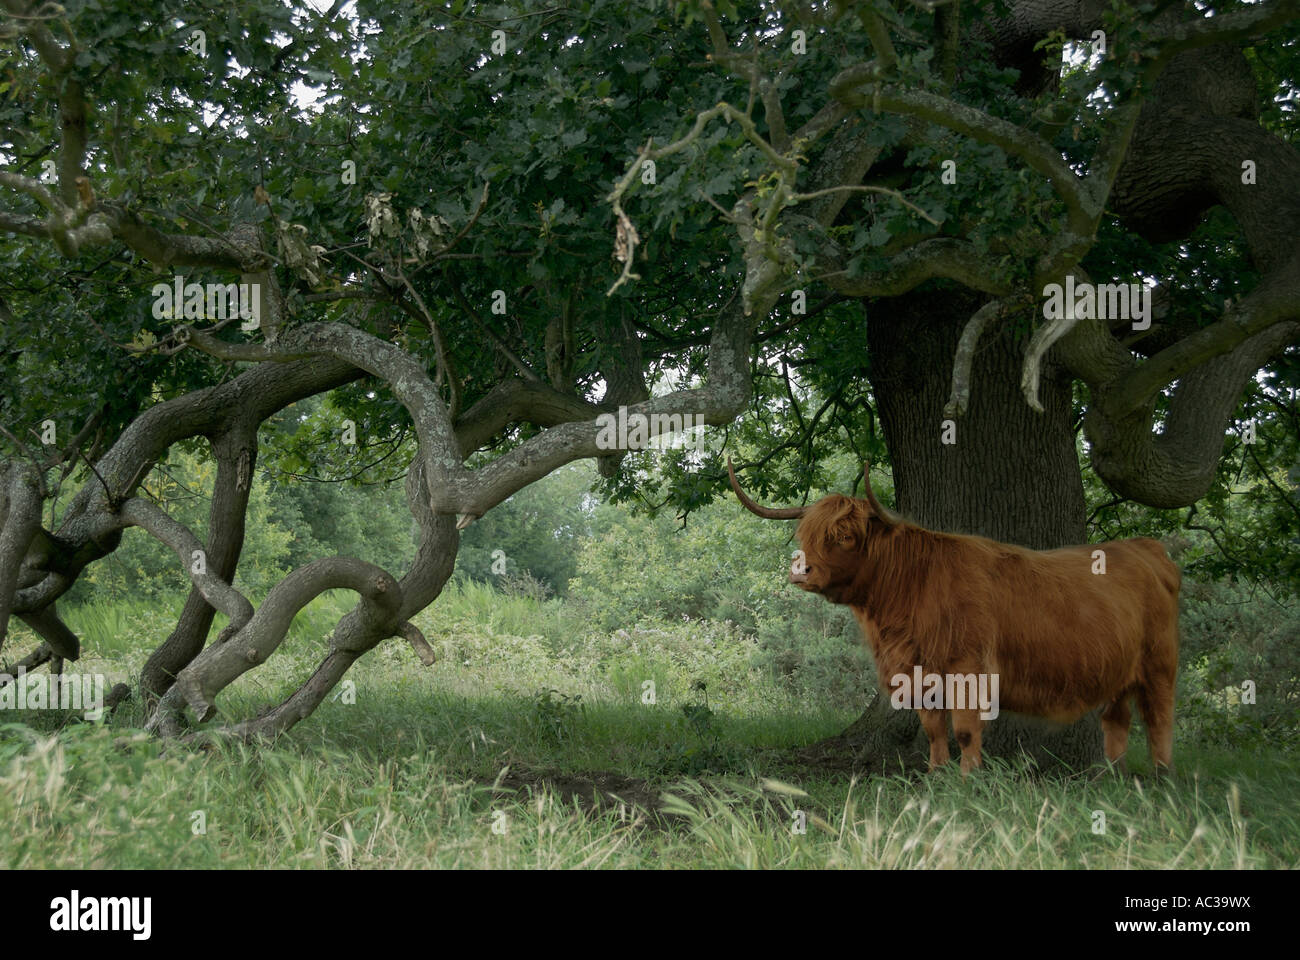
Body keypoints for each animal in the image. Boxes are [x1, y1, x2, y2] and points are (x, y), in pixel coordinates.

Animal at [728, 455, 1185, 770]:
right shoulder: (919, 672)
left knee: (1160, 719)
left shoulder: (968, 668)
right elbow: (933, 729)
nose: (799, 570)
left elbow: (964, 731)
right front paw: (936, 775)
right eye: (804, 533)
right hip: (1119, 672)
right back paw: (1111, 777)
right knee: (1117, 722)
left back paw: (1159, 779)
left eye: (844, 536)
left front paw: (967, 780)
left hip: (1159, 664)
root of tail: (1145, 548)